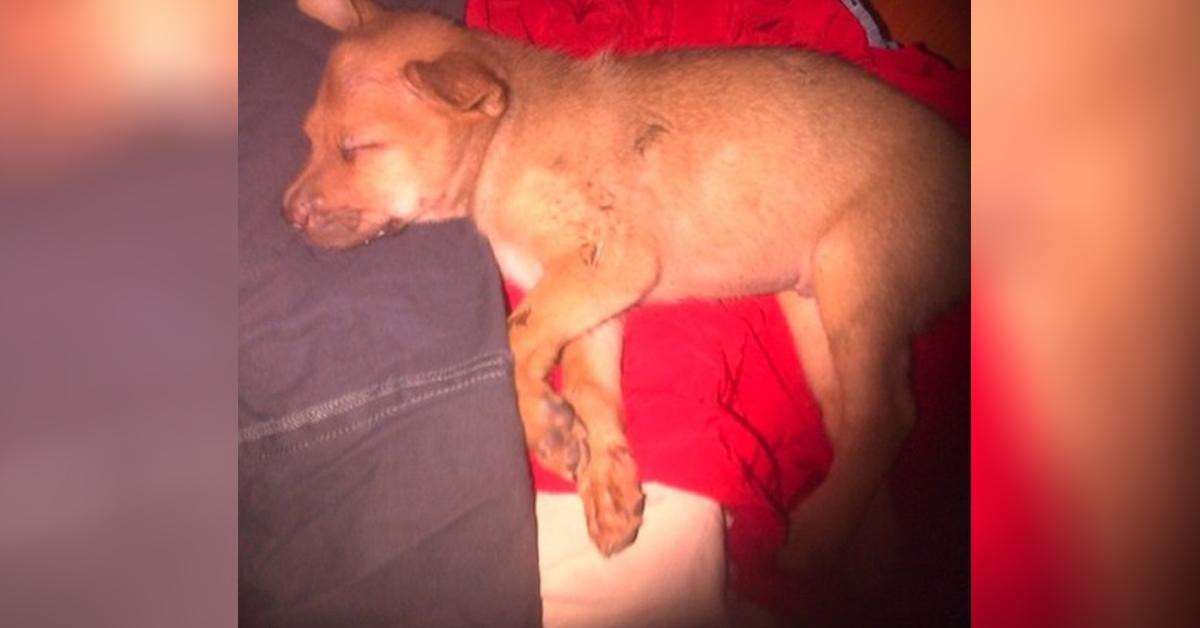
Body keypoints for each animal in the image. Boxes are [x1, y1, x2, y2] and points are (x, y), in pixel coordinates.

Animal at [285, 0, 968, 574]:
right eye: (310, 140)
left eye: (357, 148)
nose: (288, 216)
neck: (503, 140)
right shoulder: (593, 301)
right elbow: (588, 387)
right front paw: (606, 483)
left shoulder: (610, 263)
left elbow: (514, 340)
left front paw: (545, 429)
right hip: (814, 316)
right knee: (859, 421)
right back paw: (864, 550)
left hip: (852, 275)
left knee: (889, 415)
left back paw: (821, 535)